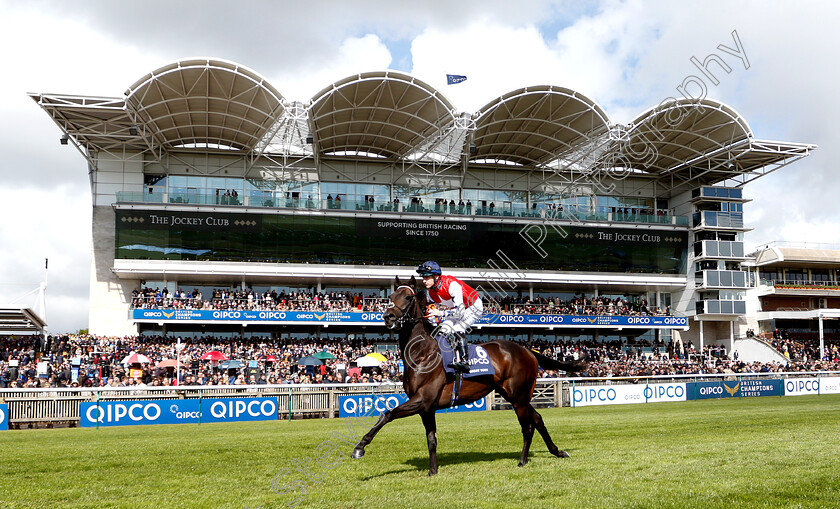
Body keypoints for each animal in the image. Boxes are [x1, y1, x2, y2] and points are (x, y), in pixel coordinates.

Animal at [352, 276, 588, 474]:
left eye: (408, 297)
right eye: (390, 297)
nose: (388, 317)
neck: (421, 352)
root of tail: (529, 351)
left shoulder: (422, 399)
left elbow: (387, 414)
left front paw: (360, 447)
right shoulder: (427, 407)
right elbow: (431, 439)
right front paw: (433, 471)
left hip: (518, 397)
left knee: (527, 427)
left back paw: (522, 461)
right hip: (514, 394)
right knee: (537, 418)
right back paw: (557, 451)